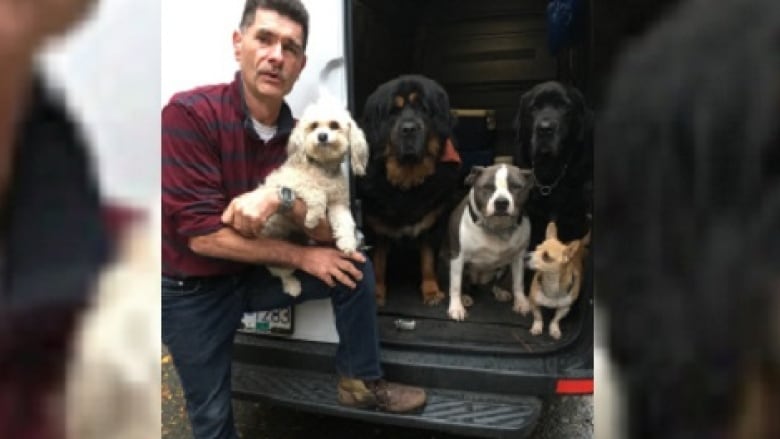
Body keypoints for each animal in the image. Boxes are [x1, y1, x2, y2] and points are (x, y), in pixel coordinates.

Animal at [258, 98, 368, 298]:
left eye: (334, 125)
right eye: (314, 126)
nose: (322, 136)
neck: (323, 169)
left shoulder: (338, 203)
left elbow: (344, 220)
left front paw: (347, 241)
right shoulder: (287, 181)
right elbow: (315, 191)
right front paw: (312, 218)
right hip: (278, 258)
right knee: (283, 274)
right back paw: (292, 286)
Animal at [360, 75, 464, 306]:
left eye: (423, 109)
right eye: (393, 111)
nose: (408, 128)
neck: (407, 182)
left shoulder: (432, 224)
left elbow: (428, 259)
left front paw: (431, 291)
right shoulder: (375, 227)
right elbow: (378, 262)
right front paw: (378, 294)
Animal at [444, 163, 536, 322]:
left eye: (515, 187)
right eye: (487, 187)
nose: (501, 202)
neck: (496, 228)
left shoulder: (518, 257)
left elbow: (518, 283)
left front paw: (521, 302)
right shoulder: (457, 257)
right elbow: (455, 284)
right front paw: (456, 308)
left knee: (497, 283)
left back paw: (499, 291)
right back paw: (465, 298)